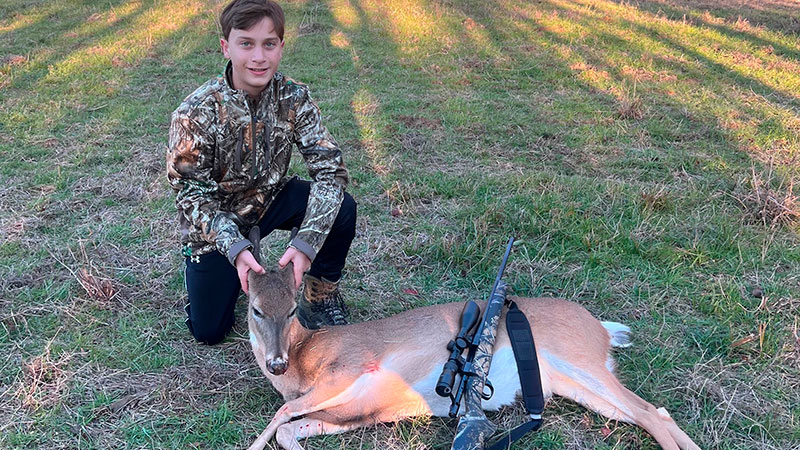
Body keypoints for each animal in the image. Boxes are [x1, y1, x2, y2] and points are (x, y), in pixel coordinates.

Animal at [245, 248, 701, 450]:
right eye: (256, 309)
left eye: (292, 308)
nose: (276, 362)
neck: (304, 358)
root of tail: (602, 329)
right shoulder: (353, 412)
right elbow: (288, 426)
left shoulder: (351, 368)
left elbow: (282, 413)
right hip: (575, 384)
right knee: (652, 413)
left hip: (580, 360)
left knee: (650, 412)